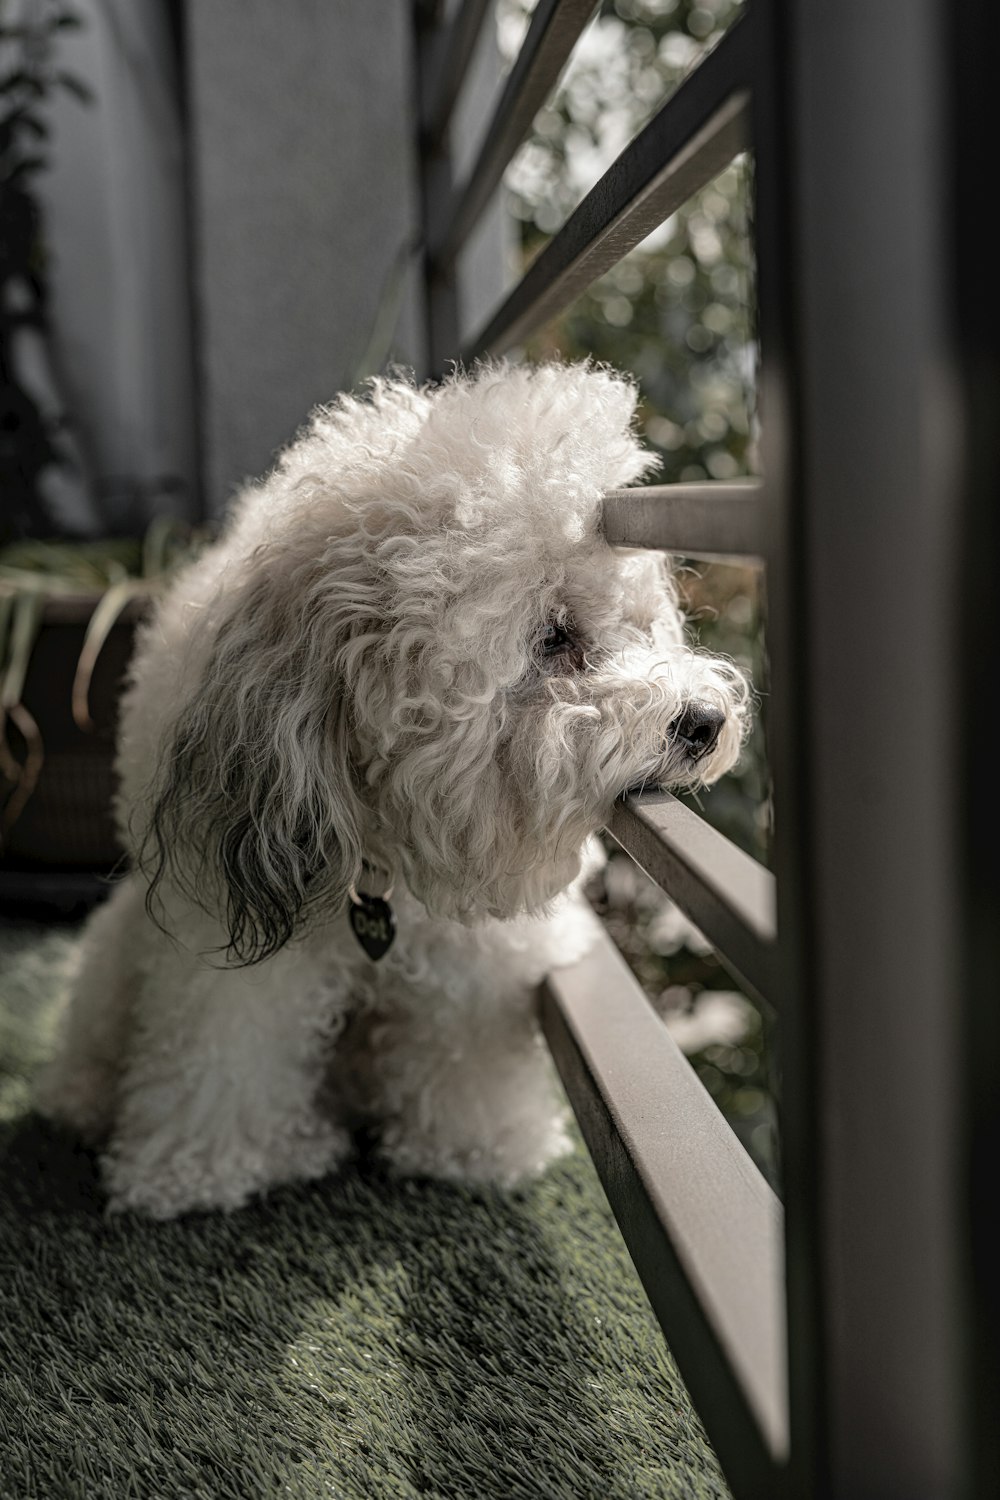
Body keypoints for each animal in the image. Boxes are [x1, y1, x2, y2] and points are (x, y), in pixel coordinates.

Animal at [37, 363, 749, 1218]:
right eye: (553, 637)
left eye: (642, 623)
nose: (705, 721)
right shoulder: (225, 928)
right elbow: (224, 1048)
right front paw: (201, 1170)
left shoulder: (472, 962)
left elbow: (461, 1051)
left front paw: (476, 1150)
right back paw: (80, 1097)